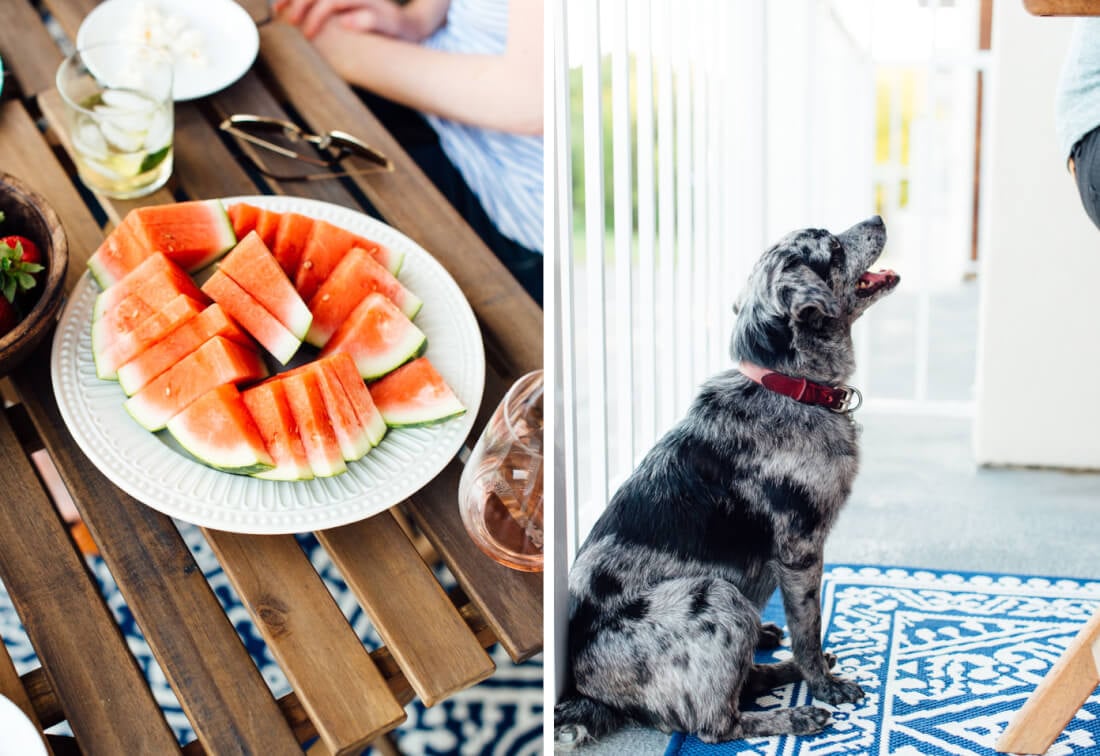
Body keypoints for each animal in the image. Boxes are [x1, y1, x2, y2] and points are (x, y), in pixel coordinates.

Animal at [554, 215, 897, 748]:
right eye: (834, 248)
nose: (878, 219)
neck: (788, 385)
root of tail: (587, 694)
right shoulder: (800, 550)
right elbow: (808, 627)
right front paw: (825, 686)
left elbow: (806, 635)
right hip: (717, 597)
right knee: (717, 722)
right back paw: (797, 713)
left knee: (743, 683)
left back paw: (773, 658)